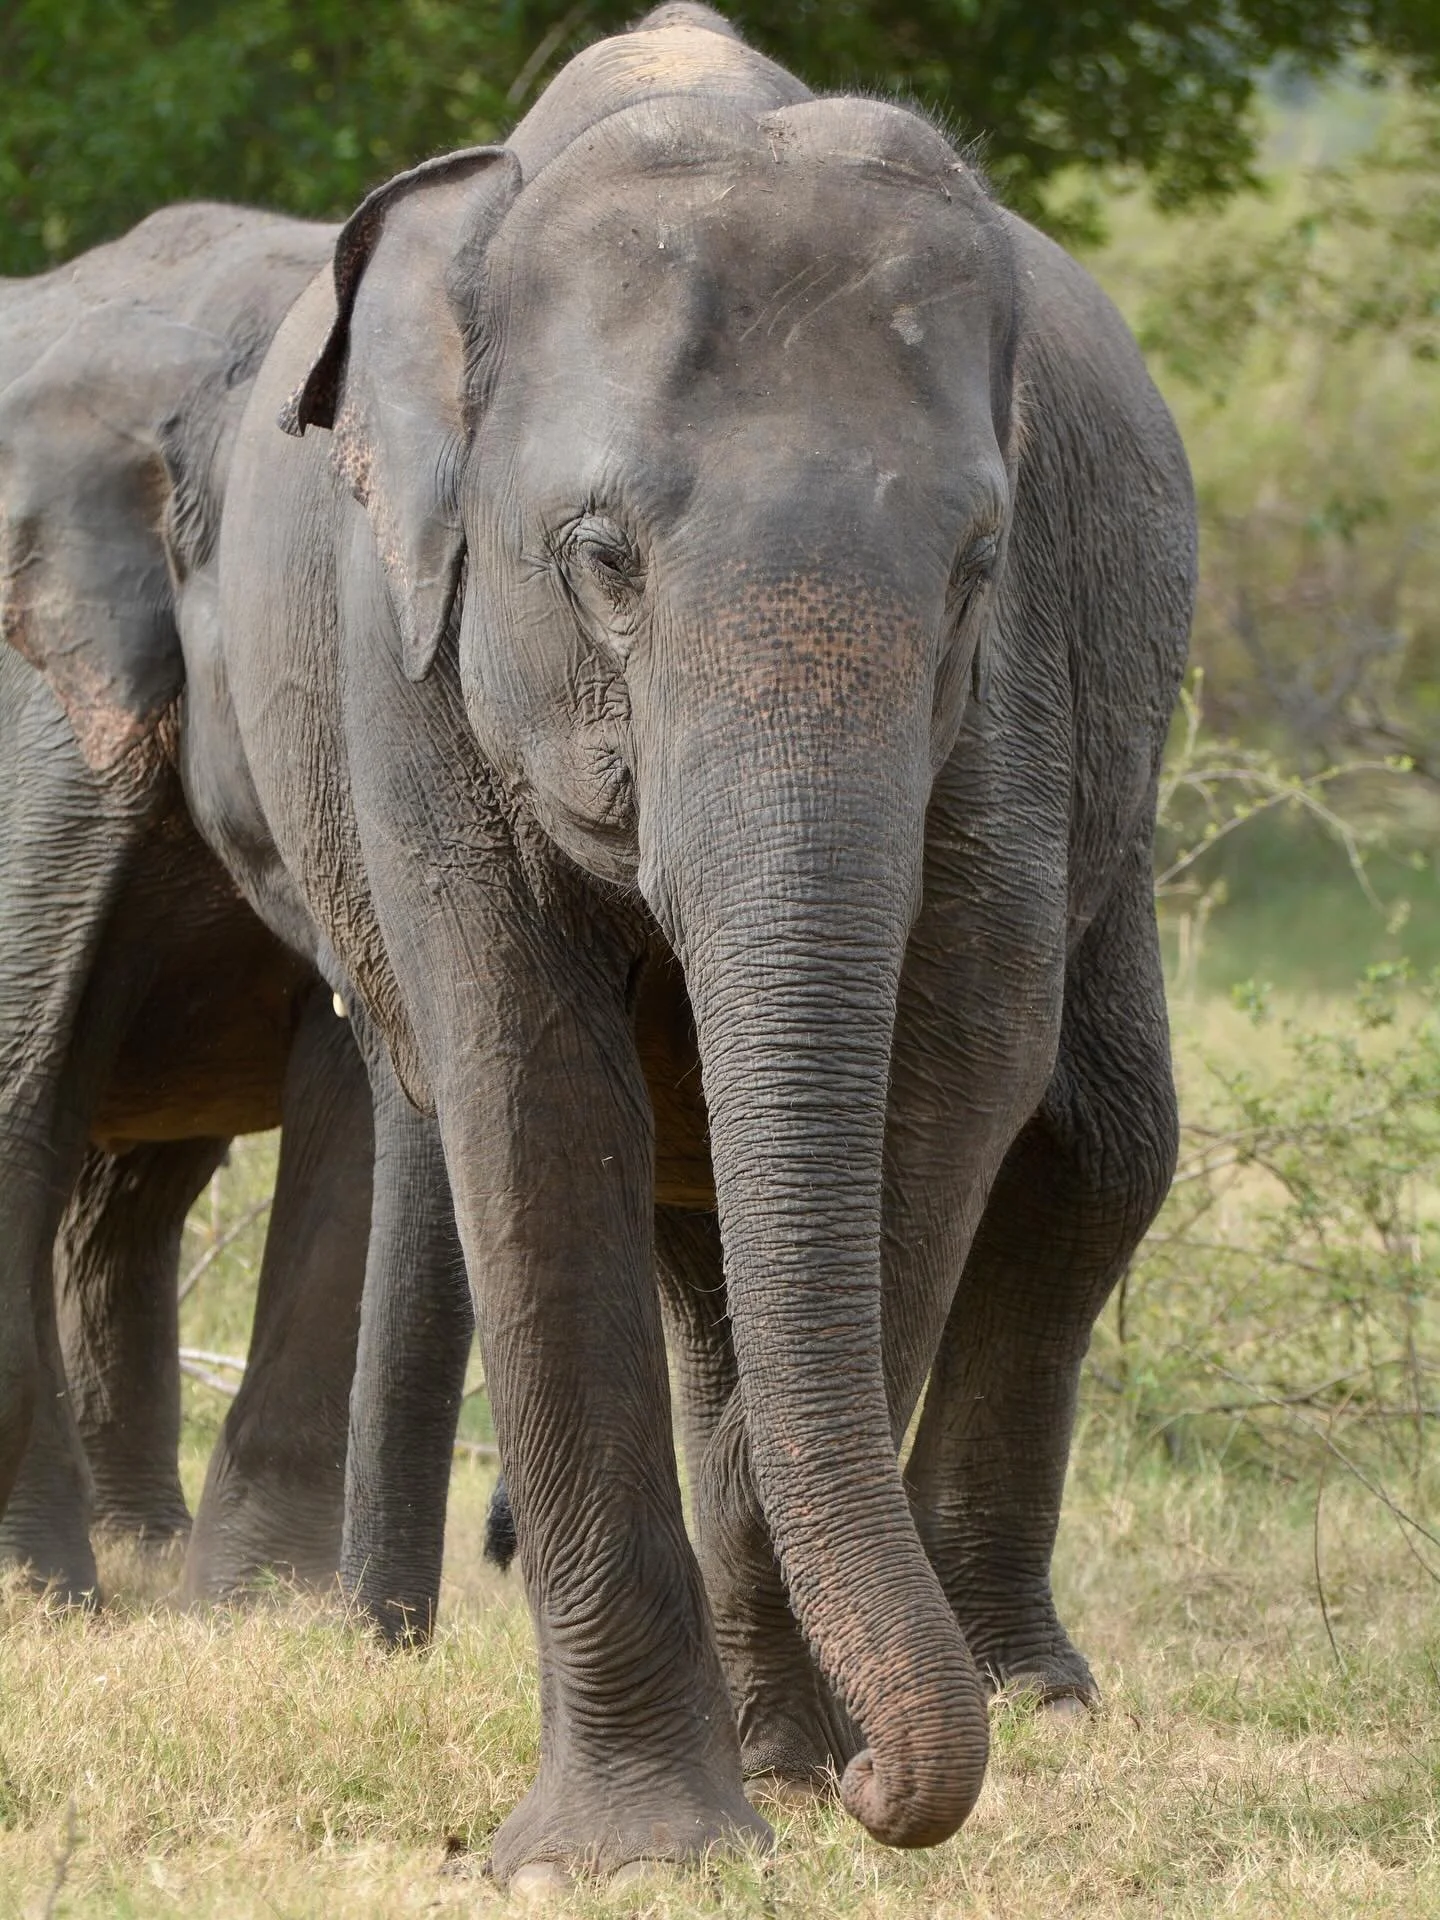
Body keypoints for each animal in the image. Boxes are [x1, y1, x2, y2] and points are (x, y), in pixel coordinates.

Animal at [193, 0, 1192, 1884]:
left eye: (974, 564)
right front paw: (637, 1856)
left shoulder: (1012, 695)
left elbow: (950, 1084)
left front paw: (786, 1775)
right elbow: (527, 1092)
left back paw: (984, 1699)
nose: (884, 1795)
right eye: (601, 560)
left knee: (1095, 1152)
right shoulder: (405, 664)